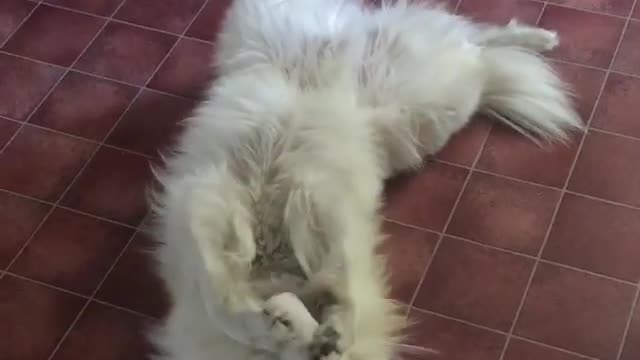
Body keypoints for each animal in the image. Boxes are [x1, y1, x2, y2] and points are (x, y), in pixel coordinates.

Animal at [149, 0, 580, 360]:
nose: (321, 348)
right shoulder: (207, 229)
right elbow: (226, 307)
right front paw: (286, 326)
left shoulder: (325, 223)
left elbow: (340, 296)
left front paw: (325, 328)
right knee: (472, 40)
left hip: (427, 85)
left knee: (473, 35)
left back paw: (540, 37)